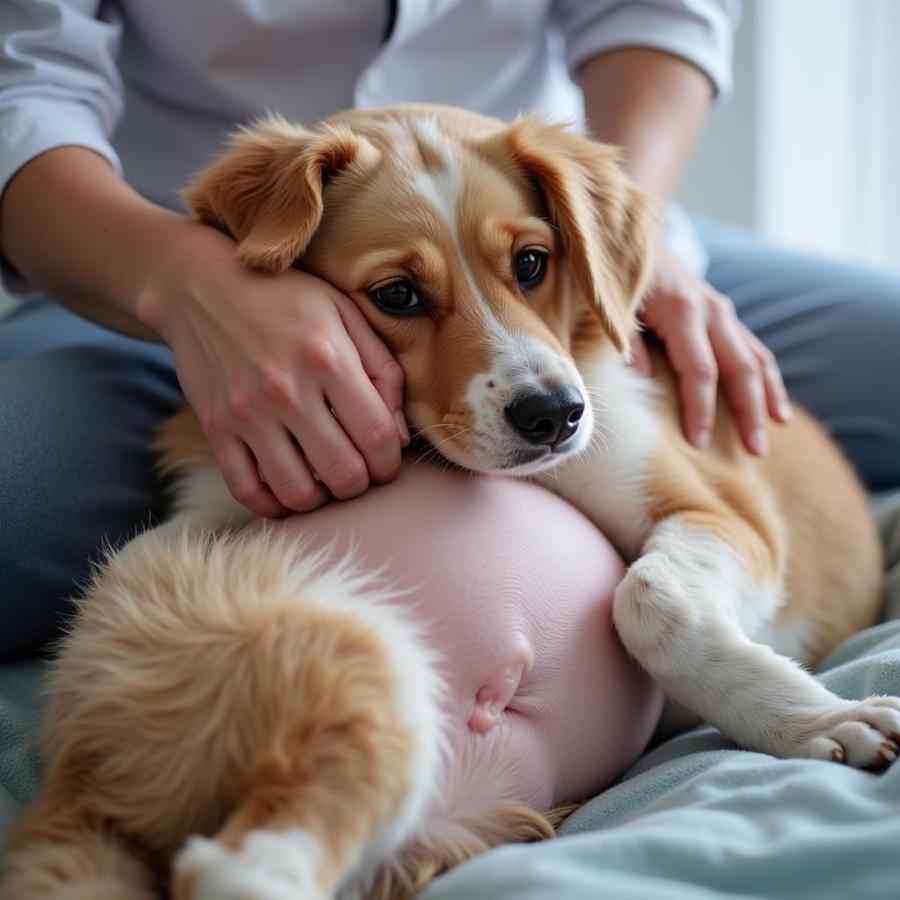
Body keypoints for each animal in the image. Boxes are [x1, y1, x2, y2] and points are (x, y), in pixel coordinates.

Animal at [3, 105, 892, 900]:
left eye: (532, 263)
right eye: (398, 295)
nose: (555, 415)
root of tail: (82, 776)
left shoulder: (722, 513)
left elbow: (649, 598)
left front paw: (810, 719)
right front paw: (815, 719)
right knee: (234, 864)